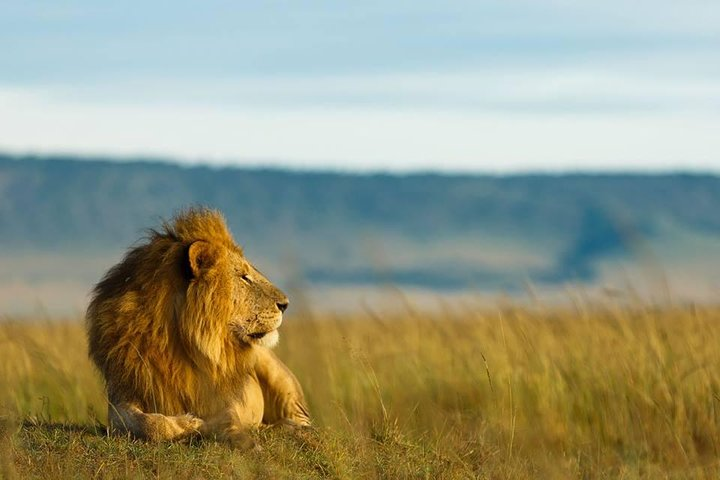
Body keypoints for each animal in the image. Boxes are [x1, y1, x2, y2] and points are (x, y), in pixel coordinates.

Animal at [86, 207, 310, 446]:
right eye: (244, 277)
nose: (285, 304)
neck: (179, 343)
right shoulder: (123, 397)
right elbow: (148, 424)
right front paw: (189, 423)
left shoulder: (223, 398)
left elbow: (226, 418)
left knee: (303, 420)